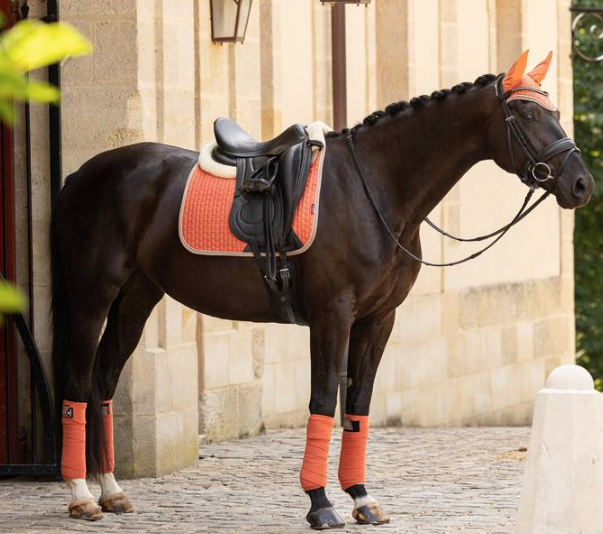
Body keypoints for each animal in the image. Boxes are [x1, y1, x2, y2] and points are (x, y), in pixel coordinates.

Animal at [52, 50, 596, 528]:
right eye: (527, 112)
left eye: (555, 111)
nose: (581, 184)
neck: (375, 188)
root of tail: (84, 173)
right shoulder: (332, 315)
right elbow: (321, 401)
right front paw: (320, 504)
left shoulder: (378, 320)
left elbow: (357, 405)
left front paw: (362, 498)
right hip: (93, 297)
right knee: (78, 383)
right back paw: (81, 496)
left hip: (137, 297)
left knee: (103, 382)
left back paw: (111, 491)